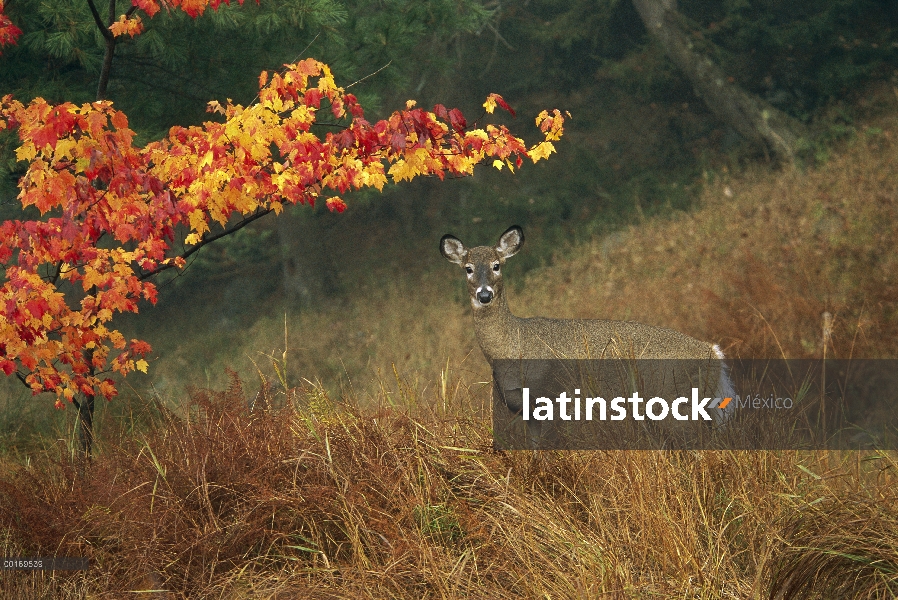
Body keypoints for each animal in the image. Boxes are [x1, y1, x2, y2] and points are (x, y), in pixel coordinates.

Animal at [438, 224, 732, 446]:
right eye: (468, 268)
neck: (514, 345)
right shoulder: (527, 412)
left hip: (676, 402)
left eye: (497, 265)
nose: (484, 295)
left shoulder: (555, 399)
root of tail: (714, 353)